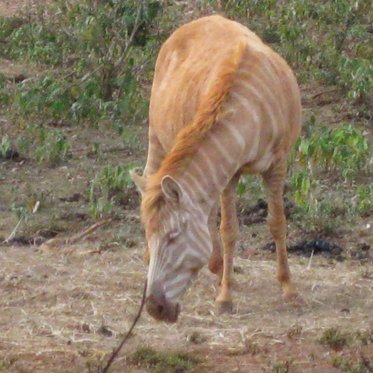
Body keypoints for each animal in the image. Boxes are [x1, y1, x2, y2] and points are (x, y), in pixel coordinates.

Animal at [129, 16, 300, 322]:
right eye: (150, 234)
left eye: (173, 236)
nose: (154, 308)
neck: (251, 113)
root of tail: (197, 20)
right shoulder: (229, 173)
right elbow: (228, 230)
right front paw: (225, 297)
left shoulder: (277, 165)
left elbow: (277, 223)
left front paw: (288, 288)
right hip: (157, 135)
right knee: (151, 177)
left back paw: (217, 266)